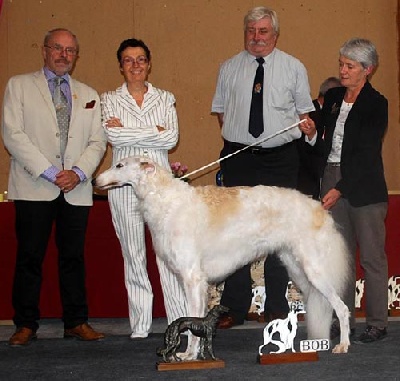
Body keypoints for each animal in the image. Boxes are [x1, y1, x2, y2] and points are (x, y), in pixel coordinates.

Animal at [94, 155, 350, 360]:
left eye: (119, 165)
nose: (94, 181)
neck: (164, 198)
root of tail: (319, 207)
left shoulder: (193, 278)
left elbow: (191, 323)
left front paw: (188, 355)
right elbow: (191, 321)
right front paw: (192, 353)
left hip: (314, 270)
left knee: (342, 307)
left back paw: (343, 345)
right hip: (298, 272)